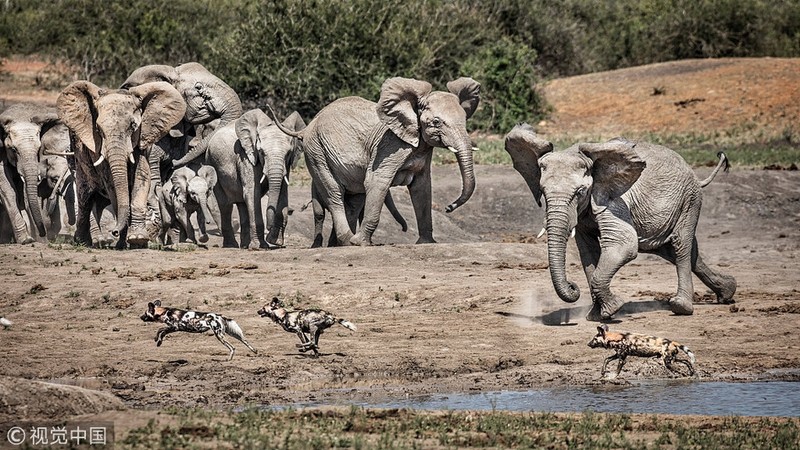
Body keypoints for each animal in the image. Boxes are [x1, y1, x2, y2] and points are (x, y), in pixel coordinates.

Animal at [57, 81, 186, 250]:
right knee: (85, 197)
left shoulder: (143, 139)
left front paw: (138, 240)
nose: (114, 231)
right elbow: (112, 185)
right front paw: (126, 241)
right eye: (98, 129)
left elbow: (142, 177)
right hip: (79, 162)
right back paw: (84, 242)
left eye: (133, 126)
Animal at [205, 108, 304, 250]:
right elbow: (253, 194)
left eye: (289, 153)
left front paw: (275, 241)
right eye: (261, 152)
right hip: (212, 163)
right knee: (225, 205)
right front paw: (260, 246)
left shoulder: (287, 166)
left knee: (242, 203)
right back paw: (232, 245)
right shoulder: (246, 157)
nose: (269, 227)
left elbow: (283, 193)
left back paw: (244, 246)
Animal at [268, 77, 482, 246]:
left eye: (465, 119)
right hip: (316, 151)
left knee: (354, 199)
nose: (449, 207)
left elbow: (421, 188)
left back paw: (341, 244)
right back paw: (350, 241)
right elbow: (377, 182)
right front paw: (361, 243)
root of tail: (306, 128)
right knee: (334, 193)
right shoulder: (389, 147)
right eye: (436, 122)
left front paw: (427, 243)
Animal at [506, 123, 736, 320]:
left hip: (690, 199)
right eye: (542, 191)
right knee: (675, 250)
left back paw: (681, 307)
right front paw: (597, 315)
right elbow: (588, 253)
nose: (573, 287)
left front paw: (613, 309)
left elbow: (623, 245)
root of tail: (696, 176)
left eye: (580, 192)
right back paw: (727, 292)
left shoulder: (614, 201)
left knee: (680, 245)